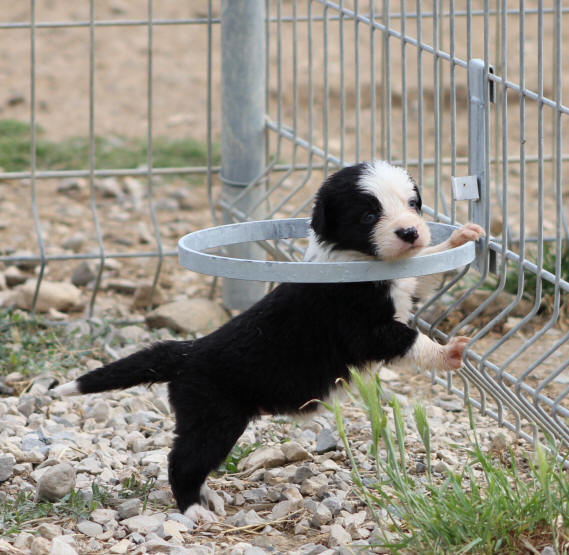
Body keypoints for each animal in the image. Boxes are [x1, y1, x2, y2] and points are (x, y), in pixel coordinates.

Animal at [53, 161, 482, 524]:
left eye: (412, 204)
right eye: (368, 216)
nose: (409, 232)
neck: (357, 260)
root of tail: (189, 351)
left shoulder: (405, 286)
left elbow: (424, 272)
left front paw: (460, 237)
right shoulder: (365, 329)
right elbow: (411, 340)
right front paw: (450, 352)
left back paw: (207, 497)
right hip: (215, 420)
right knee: (182, 462)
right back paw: (194, 508)